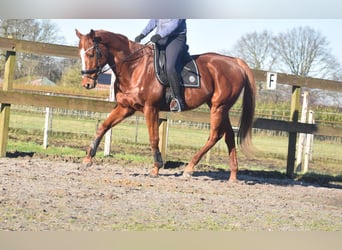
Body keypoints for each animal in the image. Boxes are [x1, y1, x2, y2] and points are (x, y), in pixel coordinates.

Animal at [76, 29, 255, 183]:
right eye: (80, 54)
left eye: (91, 54)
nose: (86, 84)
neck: (134, 68)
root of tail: (235, 62)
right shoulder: (125, 107)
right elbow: (103, 127)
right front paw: (87, 159)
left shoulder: (151, 108)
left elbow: (153, 137)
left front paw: (156, 168)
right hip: (220, 108)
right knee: (229, 136)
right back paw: (233, 175)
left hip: (219, 107)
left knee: (215, 135)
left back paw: (189, 169)